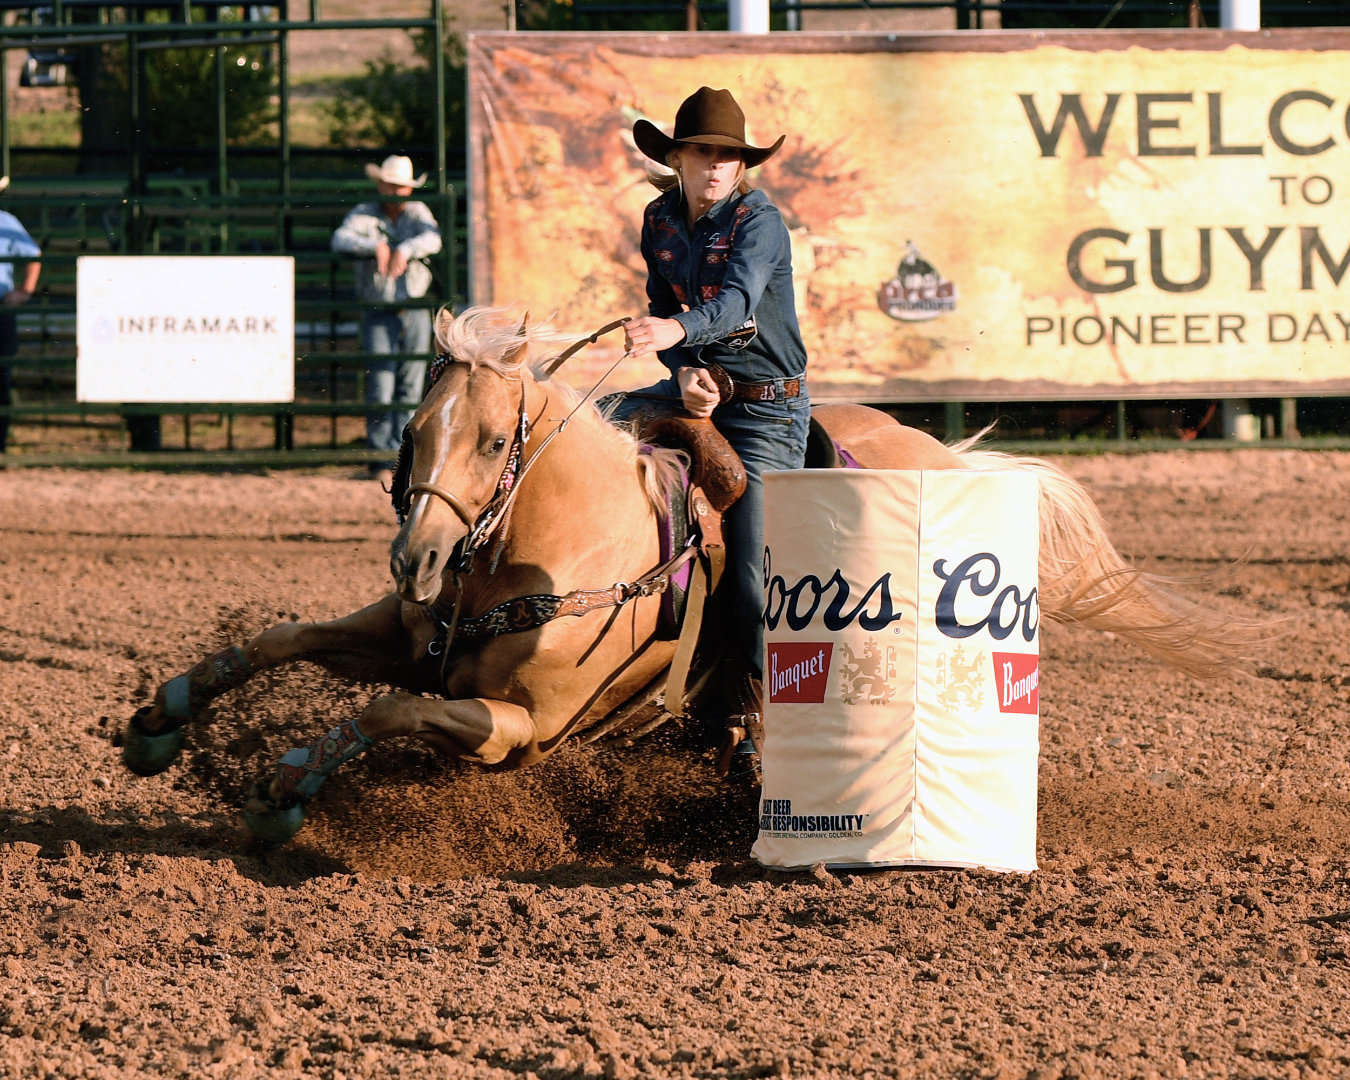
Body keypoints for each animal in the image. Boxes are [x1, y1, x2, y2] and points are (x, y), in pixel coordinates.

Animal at [121, 306, 1247, 842]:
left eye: (490, 440)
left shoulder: (521, 731)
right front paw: (159, 720)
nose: (418, 557)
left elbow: (383, 714)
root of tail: (937, 451)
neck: (554, 549)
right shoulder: (409, 638)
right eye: (412, 429)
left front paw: (288, 783)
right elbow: (281, 638)